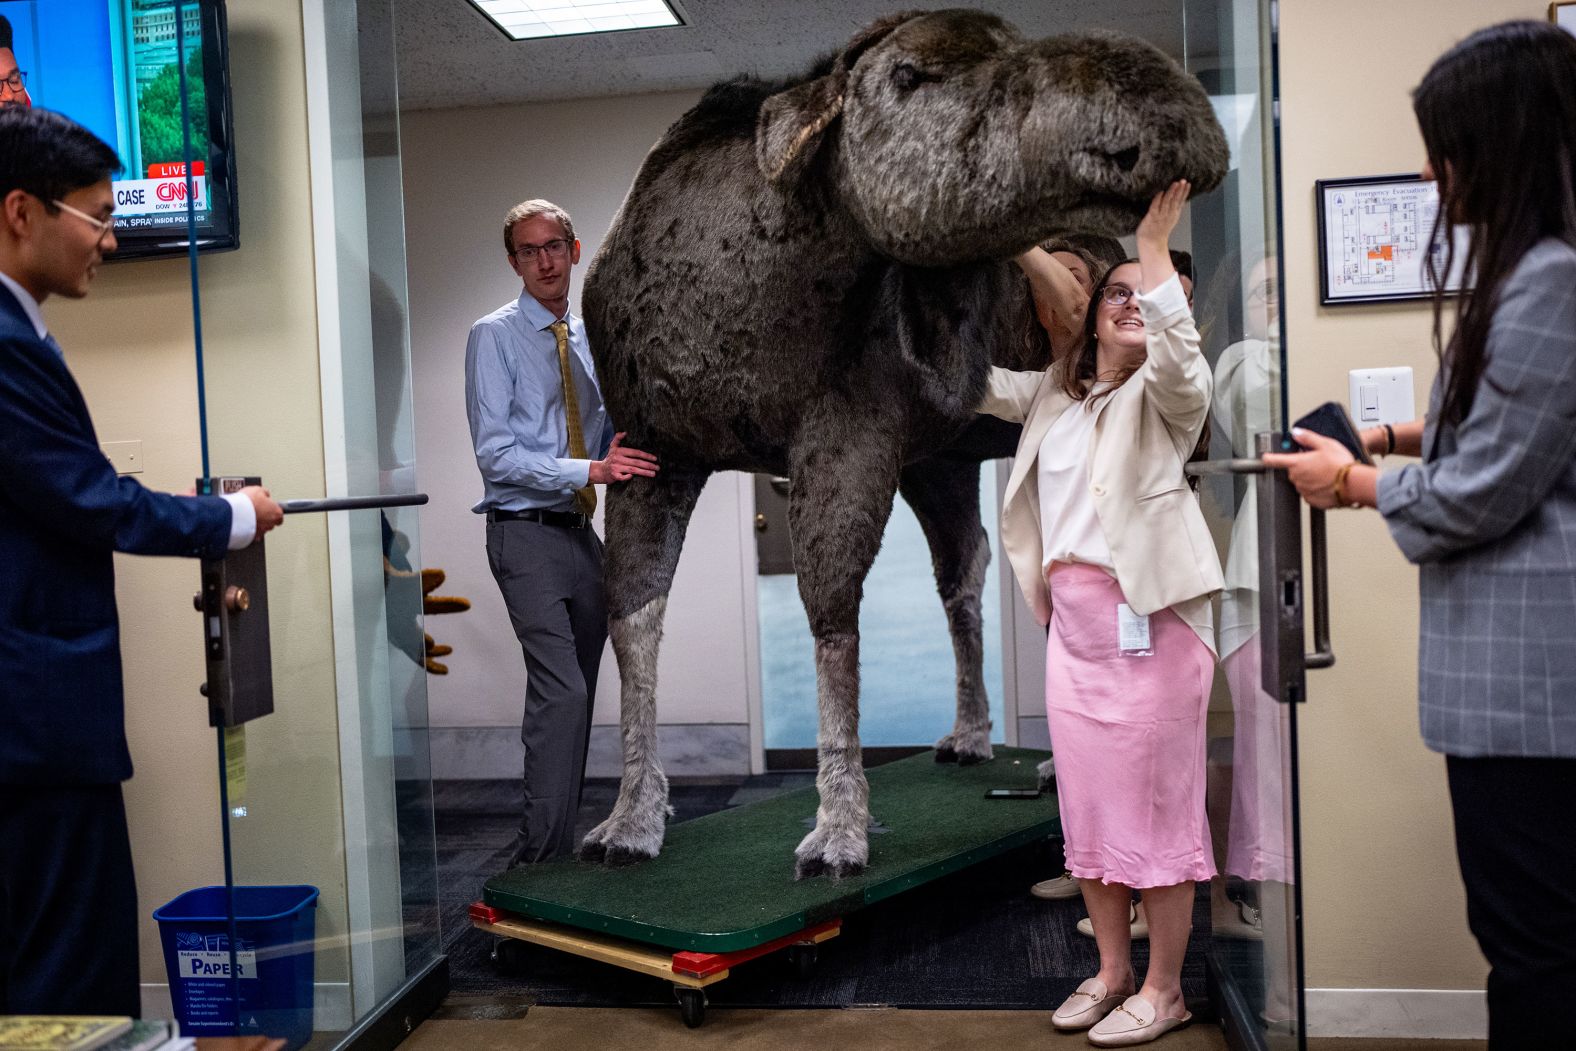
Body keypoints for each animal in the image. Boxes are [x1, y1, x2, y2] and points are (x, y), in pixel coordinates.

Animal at [579, 8, 1229, 882]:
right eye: (909, 74)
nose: (1171, 107)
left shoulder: (846, 440)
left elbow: (830, 614)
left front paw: (838, 829)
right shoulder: (649, 454)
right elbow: (635, 617)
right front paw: (630, 818)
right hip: (939, 467)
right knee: (967, 565)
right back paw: (973, 733)